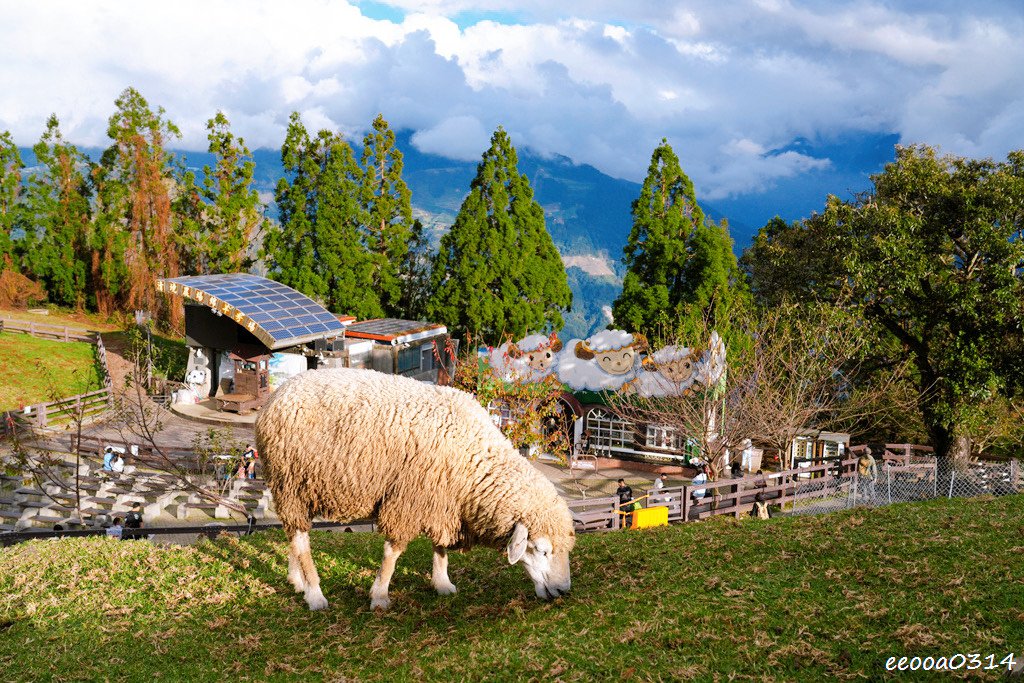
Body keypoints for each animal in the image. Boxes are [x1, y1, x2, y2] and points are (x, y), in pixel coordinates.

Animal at [254, 370, 577, 610]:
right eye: (542, 550)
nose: (564, 590)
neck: (472, 458)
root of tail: (278, 393)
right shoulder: (409, 498)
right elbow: (392, 553)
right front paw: (380, 595)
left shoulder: (443, 500)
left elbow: (441, 547)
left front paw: (442, 582)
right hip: (290, 483)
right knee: (301, 540)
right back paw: (314, 594)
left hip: (296, 487)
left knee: (294, 536)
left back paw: (297, 580)